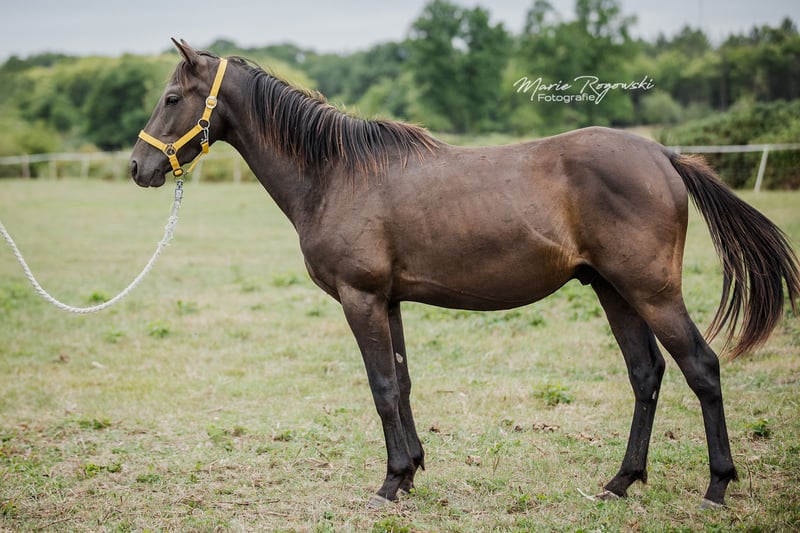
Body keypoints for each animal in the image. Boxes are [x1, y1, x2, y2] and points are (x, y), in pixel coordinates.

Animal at [130, 39, 800, 509]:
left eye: (171, 99)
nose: (139, 166)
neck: (338, 173)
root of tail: (662, 153)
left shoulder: (361, 299)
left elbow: (381, 386)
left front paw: (389, 482)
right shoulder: (388, 302)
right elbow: (401, 384)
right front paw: (410, 474)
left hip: (653, 293)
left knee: (701, 368)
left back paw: (716, 487)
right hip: (615, 291)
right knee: (647, 374)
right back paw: (621, 481)